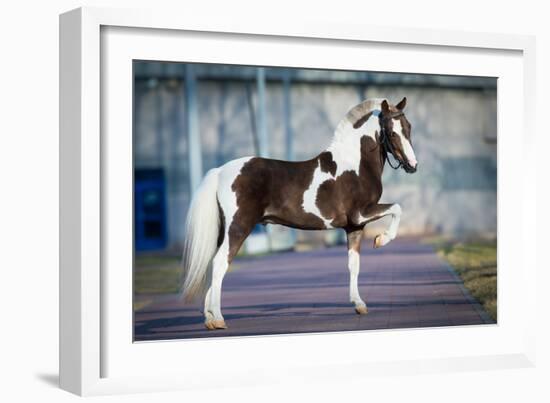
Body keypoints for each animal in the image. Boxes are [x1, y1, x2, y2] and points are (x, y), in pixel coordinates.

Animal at [181, 96, 418, 330]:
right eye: (391, 132)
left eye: (408, 127)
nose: (413, 165)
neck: (355, 164)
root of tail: (220, 171)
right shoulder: (361, 214)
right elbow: (397, 208)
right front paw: (381, 239)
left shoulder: (354, 226)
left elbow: (354, 265)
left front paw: (359, 304)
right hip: (238, 228)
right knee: (220, 263)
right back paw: (219, 318)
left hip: (223, 232)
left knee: (212, 264)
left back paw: (209, 318)